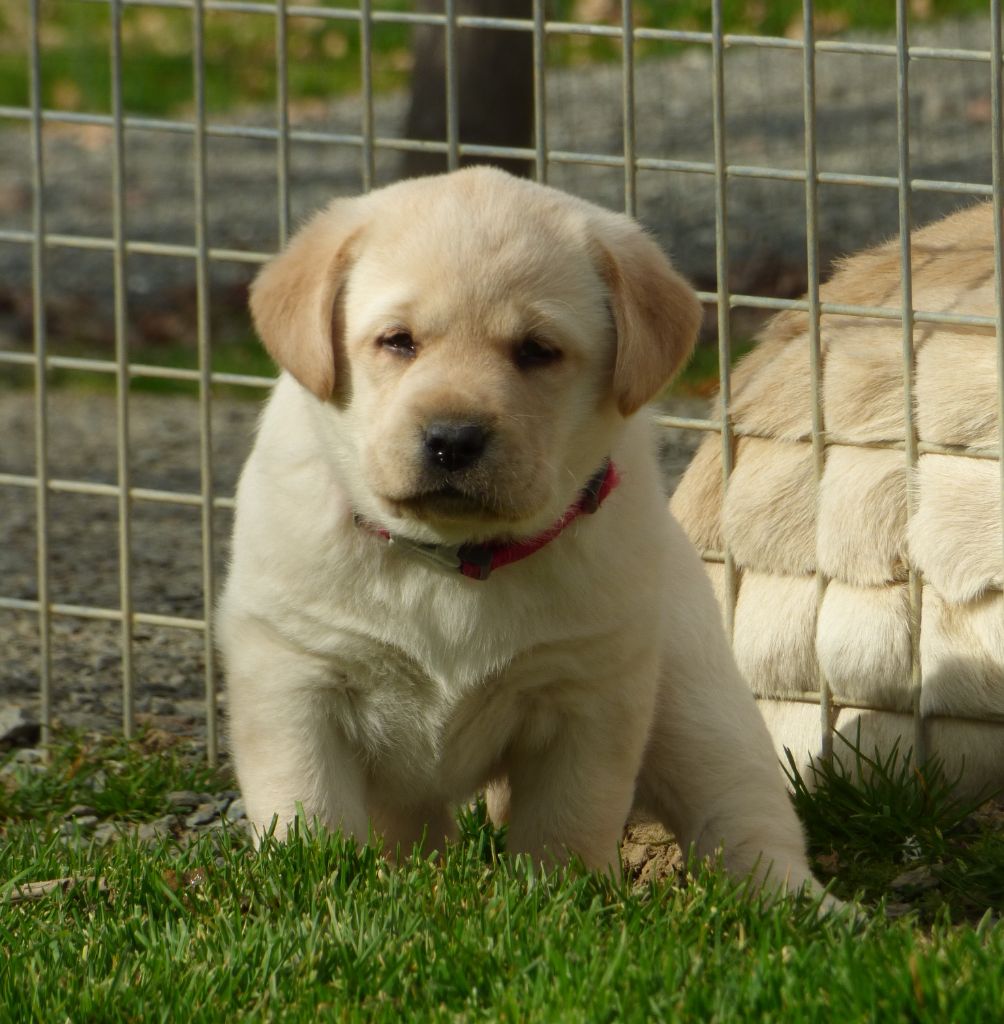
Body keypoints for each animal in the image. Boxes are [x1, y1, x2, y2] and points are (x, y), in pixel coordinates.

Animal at [219, 167, 820, 894]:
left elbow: (566, 827)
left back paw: (798, 902)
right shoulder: (294, 676)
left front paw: (562, 895)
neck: (452, 559)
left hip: (698, 703)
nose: (453, 439)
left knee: (744, 813)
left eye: (537, 351)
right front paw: (316, 884)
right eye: (398, 341)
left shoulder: (589, 694)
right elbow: (310, 812)